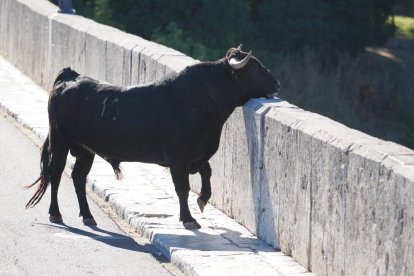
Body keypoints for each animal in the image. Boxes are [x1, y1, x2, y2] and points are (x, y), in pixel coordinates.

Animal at [25, 47, 278, 229]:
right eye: (255, 68)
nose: (277, 83)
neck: (199, 98)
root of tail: (70, 76)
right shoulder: (177, 157)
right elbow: (182, 188)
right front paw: (188, 219)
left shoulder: (197, 154)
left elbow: (206, 173)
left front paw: (203, 200)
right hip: (60, 142)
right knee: (56, 174)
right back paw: (56, 214)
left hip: (87, 149)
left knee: (78, 177)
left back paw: (88, 216)